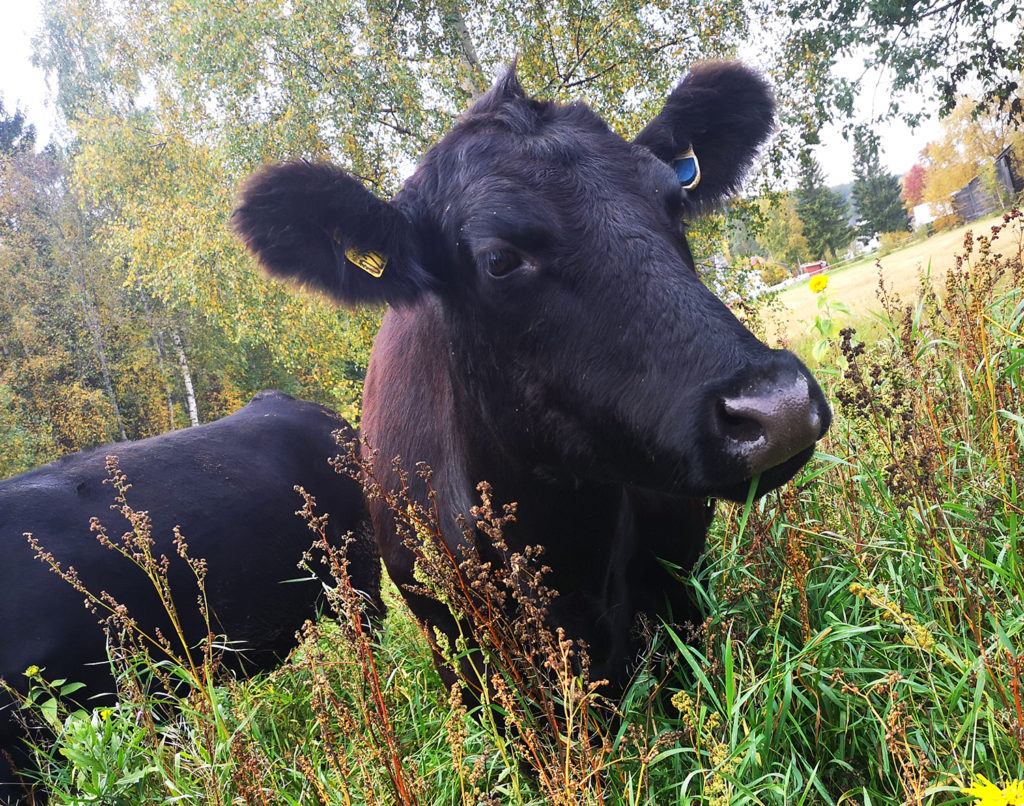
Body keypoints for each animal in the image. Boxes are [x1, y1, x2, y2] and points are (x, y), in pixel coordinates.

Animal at [237, 67, 831, 700]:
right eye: (499, 259)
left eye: (673, 201)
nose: (778, 403)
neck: (564, 546)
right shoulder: (454, 646)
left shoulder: (678, 601)